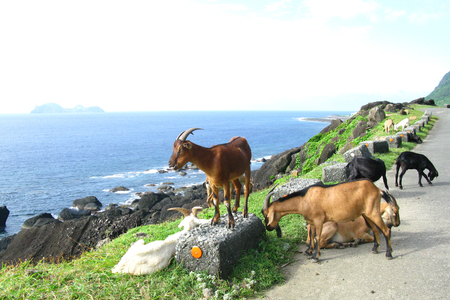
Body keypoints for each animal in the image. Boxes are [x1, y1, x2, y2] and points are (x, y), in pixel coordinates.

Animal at [260, 180, 394, 262]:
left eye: (266, 215)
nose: (268, 228)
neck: (303, 199)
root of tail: (377, 190)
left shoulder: (319, 220)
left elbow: (318, 237)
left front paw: (315, 256)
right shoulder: (312, 221)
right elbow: (311, 234)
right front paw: (308, 251)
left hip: (373, 212)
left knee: (386, 230)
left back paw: (388, 254)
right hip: (366, 214)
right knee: (375, 230)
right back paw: (374, 249)